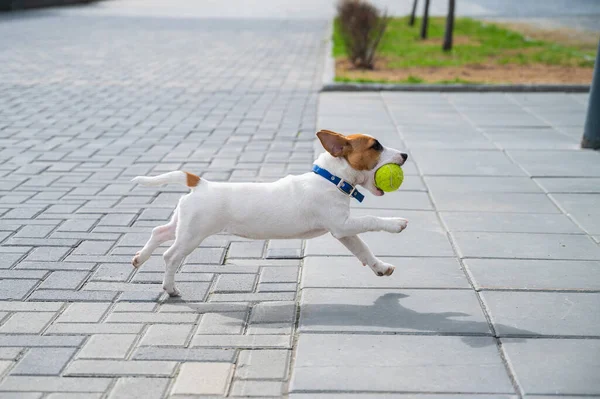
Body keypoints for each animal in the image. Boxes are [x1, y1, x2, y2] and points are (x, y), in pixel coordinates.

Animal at [132, 129, 410, 296]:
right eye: (376, 146)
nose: (405, 154)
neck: (330, 179)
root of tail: (200, 183)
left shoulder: (344, 232)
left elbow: (363, 249)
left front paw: (381, 267)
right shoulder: (342, 225)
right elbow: (371, 219)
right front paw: (396, 223)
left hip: (183, 225)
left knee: (159, 231)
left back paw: (139, 258)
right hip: (192, 234)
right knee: (170, 256)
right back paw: (170, 288)